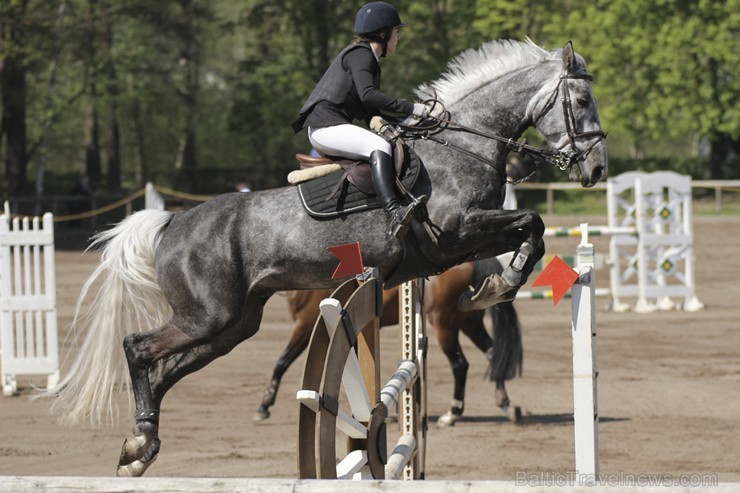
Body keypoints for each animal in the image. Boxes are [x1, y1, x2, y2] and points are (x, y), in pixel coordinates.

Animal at [258, 256, 524, 424]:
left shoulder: (306, 326)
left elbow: (282, 362)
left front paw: (264, 405)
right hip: (468, 322)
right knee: (492, 355)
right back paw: (507, 405)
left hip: (445, 325)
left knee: (460, 365)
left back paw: (453, 413)